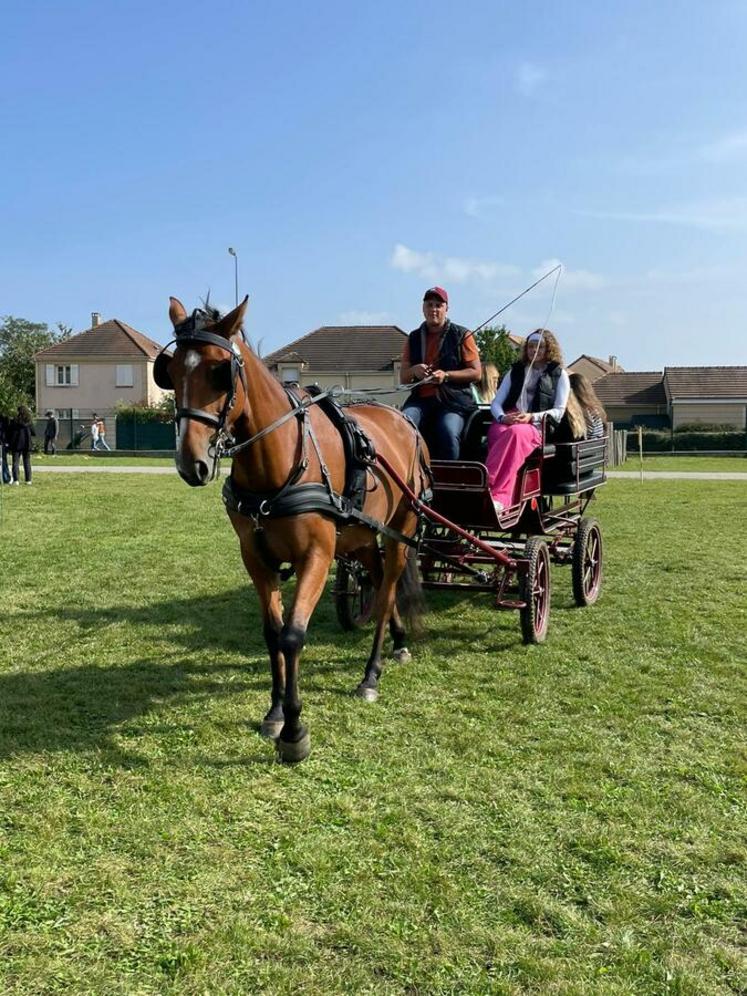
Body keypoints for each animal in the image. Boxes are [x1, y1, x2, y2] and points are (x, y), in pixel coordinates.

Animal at [155, 296, 430, 764]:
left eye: (219, 370)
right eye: (170, 372)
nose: (192, 463)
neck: (280, 462)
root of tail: (404, 421)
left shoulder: (315, 556)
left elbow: (293, 635)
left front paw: (295, 730)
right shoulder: (255, 557)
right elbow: (272, 633)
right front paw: (275, 711)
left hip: (400, 529)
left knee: (387, 589)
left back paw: (371, 673)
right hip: (359, 537)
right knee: (378, 582)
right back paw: (397, 641)